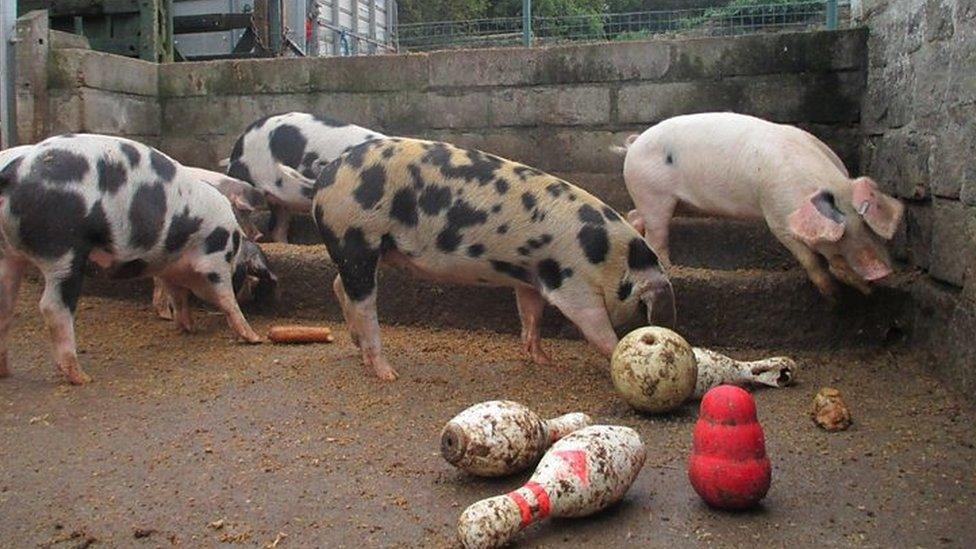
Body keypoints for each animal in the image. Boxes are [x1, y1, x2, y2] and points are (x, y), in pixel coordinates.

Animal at [0, 133, 266, 384]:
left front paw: (186, 327)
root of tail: (12, 173)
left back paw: (6, 372)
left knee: (6, 304)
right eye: (248, 276)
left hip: (8, 254)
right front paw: (254, 338)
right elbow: (226, 299)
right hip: (63, 249)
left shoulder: (169, 268)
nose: (260, 234)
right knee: (53, 306)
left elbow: (177, 296)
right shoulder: (214, 261)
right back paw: (82, 377)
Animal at [225, 111, 386, 240]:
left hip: (280, 200)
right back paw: (253, 236)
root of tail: (240, 141)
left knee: (278, 228)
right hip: (242, 181)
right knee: (240, 210)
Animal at [280, 137, 672, 382]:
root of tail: (323, 177)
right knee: (363, 302)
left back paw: (360, 351)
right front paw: (617, 352)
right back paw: (387, 373)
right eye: (644, 309)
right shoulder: (572, 282)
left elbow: (530, 315)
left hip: (368, 249)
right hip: (356, 236)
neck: (610, 257)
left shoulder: (530, 275)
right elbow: (595, 327)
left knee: (340, 285)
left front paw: (544, 360)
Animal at [620, 112, 904, 300]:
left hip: (672, 202)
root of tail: (634, 143)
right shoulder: (777, 216)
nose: (880, 272)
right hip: (653, 195)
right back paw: (669, 268)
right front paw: (832, 296)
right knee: (656, 236)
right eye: (838, 236)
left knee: (635, 216)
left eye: (866, 224)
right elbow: (809, 258)